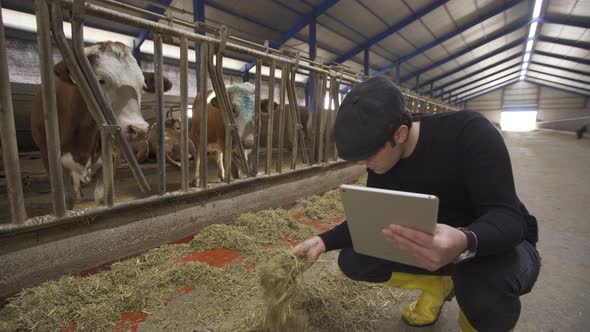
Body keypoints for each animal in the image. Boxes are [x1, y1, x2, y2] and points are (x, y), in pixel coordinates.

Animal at [31, 40, 172, 206]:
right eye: (100, 80)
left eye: (142, 85)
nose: (139, 130)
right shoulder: (49, 159)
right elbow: (68, 199)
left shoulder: (112, 157)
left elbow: (102, 196)